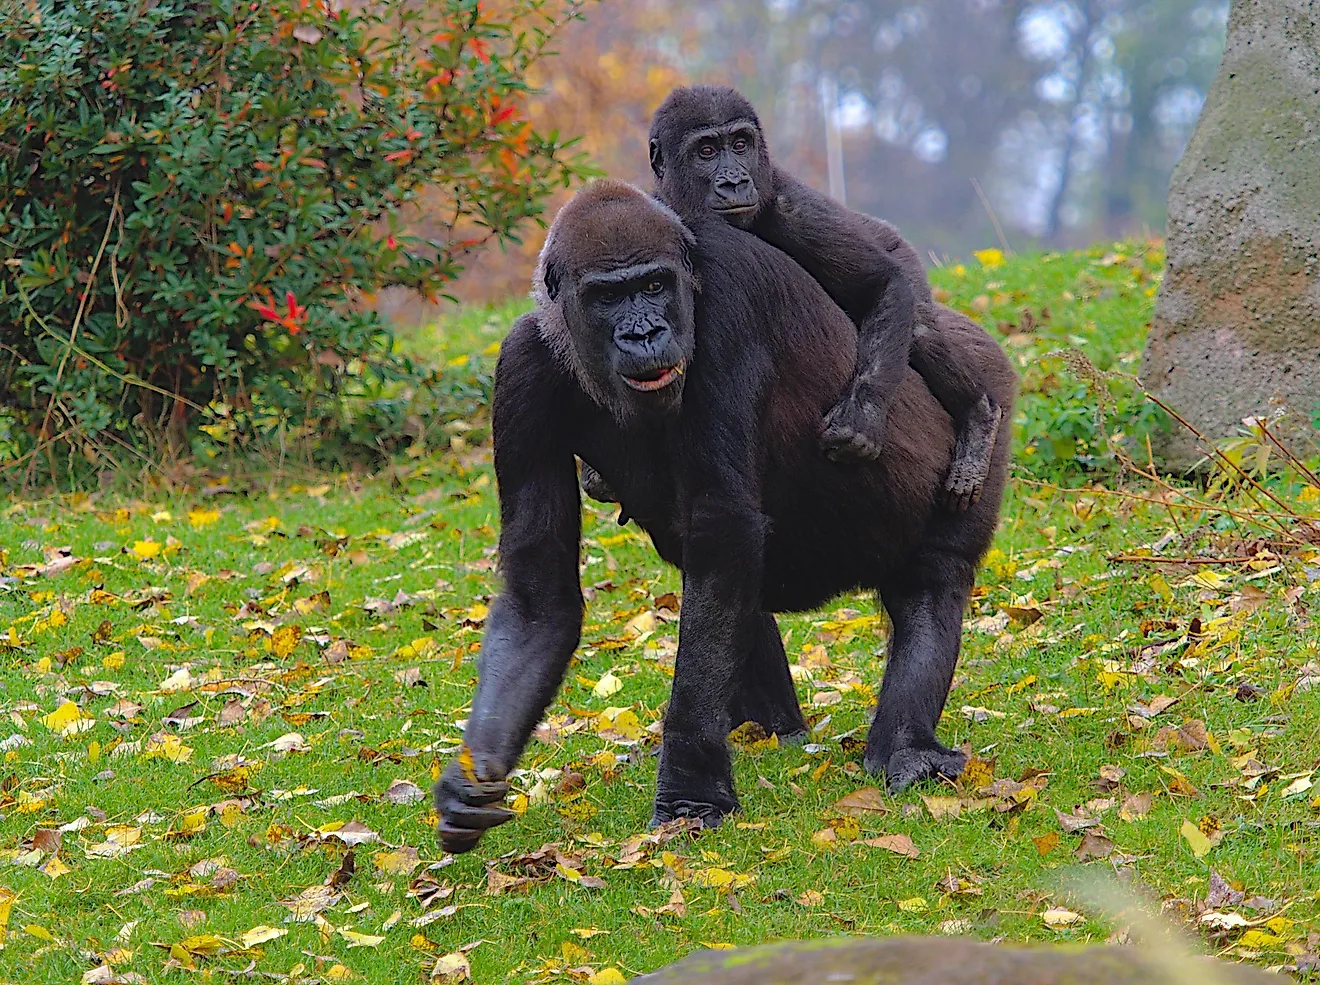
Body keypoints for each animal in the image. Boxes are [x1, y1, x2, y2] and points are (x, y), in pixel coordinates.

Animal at [646, 83, 1008, 509]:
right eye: (705, 151)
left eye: (739, 145)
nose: (734, 180)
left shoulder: (793, 210)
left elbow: (882, 283)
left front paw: (862, 417)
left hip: (902, 251)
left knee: (918, 324)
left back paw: (979, 416)